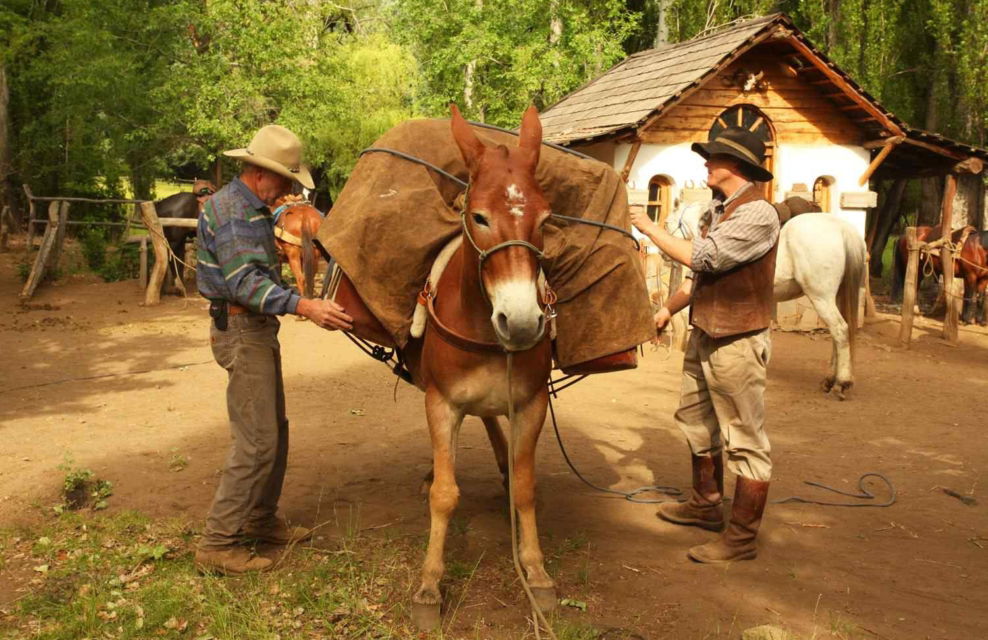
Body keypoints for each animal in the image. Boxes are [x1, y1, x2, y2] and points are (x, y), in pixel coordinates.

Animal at [395, 105, 555, 630]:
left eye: (546, 218)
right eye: (479, 216)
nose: (521, 321)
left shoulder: (531, 404)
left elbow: (526, 488)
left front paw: (536, 572)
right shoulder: (441, 403)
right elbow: (445, 495)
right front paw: (429, 585)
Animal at [667, 202, 866, 399]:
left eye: (668, 222)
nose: (665, 255)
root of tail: (842, 228)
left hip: (821, 298)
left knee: (840, 330)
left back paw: (840, 383)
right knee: (838, 334)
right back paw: (830, 380)